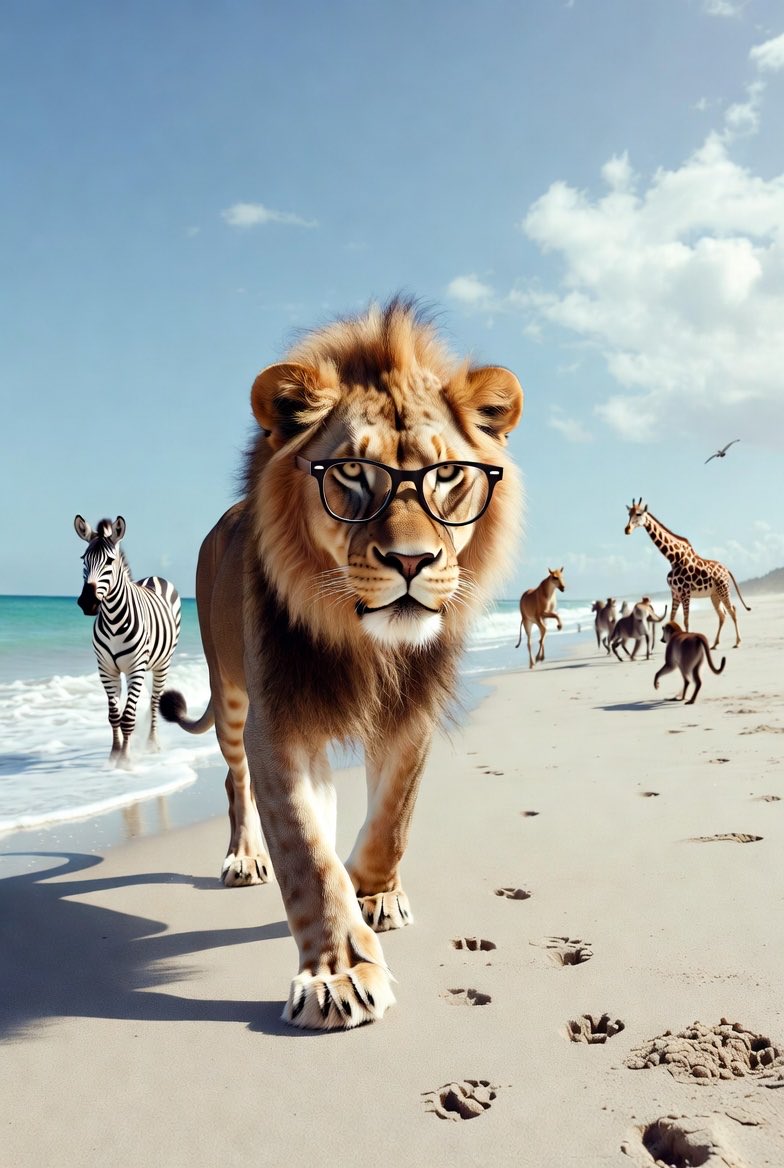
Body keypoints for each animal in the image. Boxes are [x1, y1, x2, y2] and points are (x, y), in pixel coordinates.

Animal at [160, 298, 523, 1030]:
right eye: (352, 474)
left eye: (447, 473)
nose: (412, 561)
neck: (366, 644)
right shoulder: (280, 722)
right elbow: (306, 853)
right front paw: (338, 975)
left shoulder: (412, 712)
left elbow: (392, 818)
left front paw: (375, 895)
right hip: (230, 694)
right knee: (235, 784)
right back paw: (245, 857)